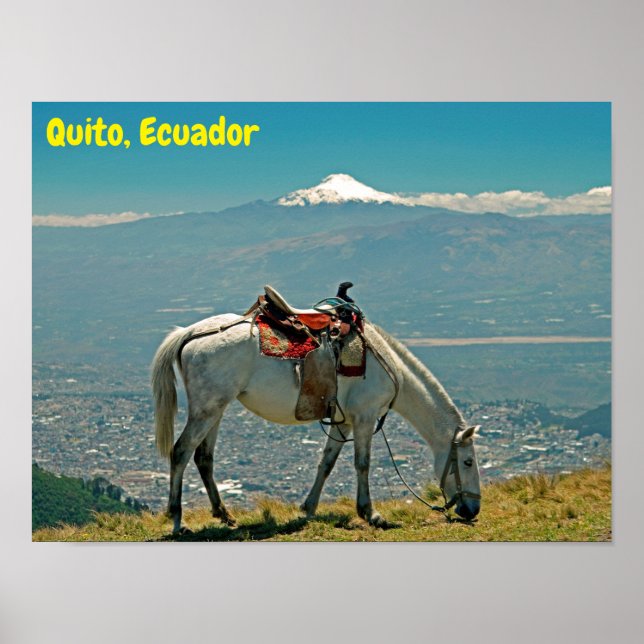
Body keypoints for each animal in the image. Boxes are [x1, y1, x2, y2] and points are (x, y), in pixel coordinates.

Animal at [152, 312, 481, 534]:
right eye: (467, 462)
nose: (472, 509)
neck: (388, 365)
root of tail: (191, 333)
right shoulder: (365, 418)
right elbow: (363, 464)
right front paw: (370, 514)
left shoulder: (342, 422)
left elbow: (327, 462)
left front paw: (308, 507)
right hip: (206, 410)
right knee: (181, 452)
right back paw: (178, 521)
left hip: (215, 409)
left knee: (203, 457)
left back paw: (225, 515)